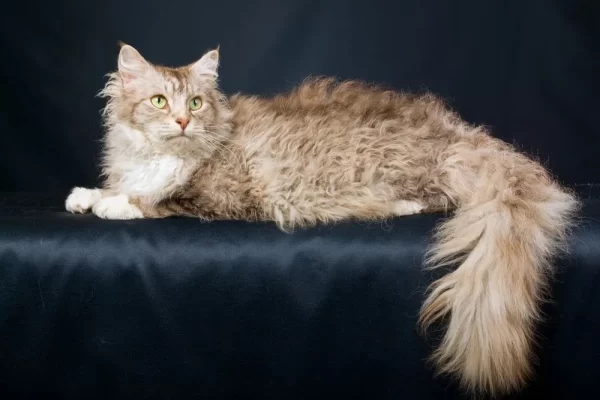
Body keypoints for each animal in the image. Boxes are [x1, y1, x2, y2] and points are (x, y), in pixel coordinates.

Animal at [67, 43, 580, 396]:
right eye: (158, 101)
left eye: (195, 103)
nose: (181, 122)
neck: (167, 153)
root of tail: (462, 135)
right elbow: (121, 184)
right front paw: (86, 196)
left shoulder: (219, 196)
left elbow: (156, 198)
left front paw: (116, 204)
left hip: (389, 171)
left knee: (432, 199)